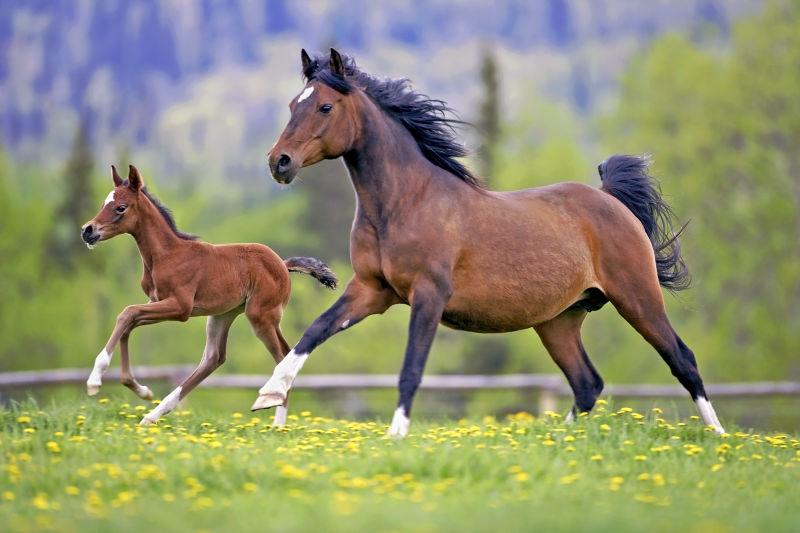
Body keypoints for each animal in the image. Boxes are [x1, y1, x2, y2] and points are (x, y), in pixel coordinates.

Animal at [83, 164, 338, 426]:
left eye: (121, 207)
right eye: (104, 202)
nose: (87, 231)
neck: (166, 255)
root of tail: (283, 265)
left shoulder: (180, 307)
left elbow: (127, 313)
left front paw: (94, 381)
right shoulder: (157, 302)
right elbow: (128, 323)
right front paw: (141, 390)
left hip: (261, 316)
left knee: (281, 355)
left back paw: (276, 420)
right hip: (223, 314)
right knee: (214, 358)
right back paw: (153, 415)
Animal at [252, 48, 724, 436]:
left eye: (325, 106)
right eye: (294, 104)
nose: (279, 162)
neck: (406, 203)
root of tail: (611, 200)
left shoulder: (428, 294)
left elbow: (411, 367)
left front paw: (396, 435)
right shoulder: (372, 290)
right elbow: (314, 331)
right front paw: (269, 395)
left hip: (637, 296)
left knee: (682, 359)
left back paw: (718, 436)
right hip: (559, 320)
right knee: (587, 383)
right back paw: (554, 438)